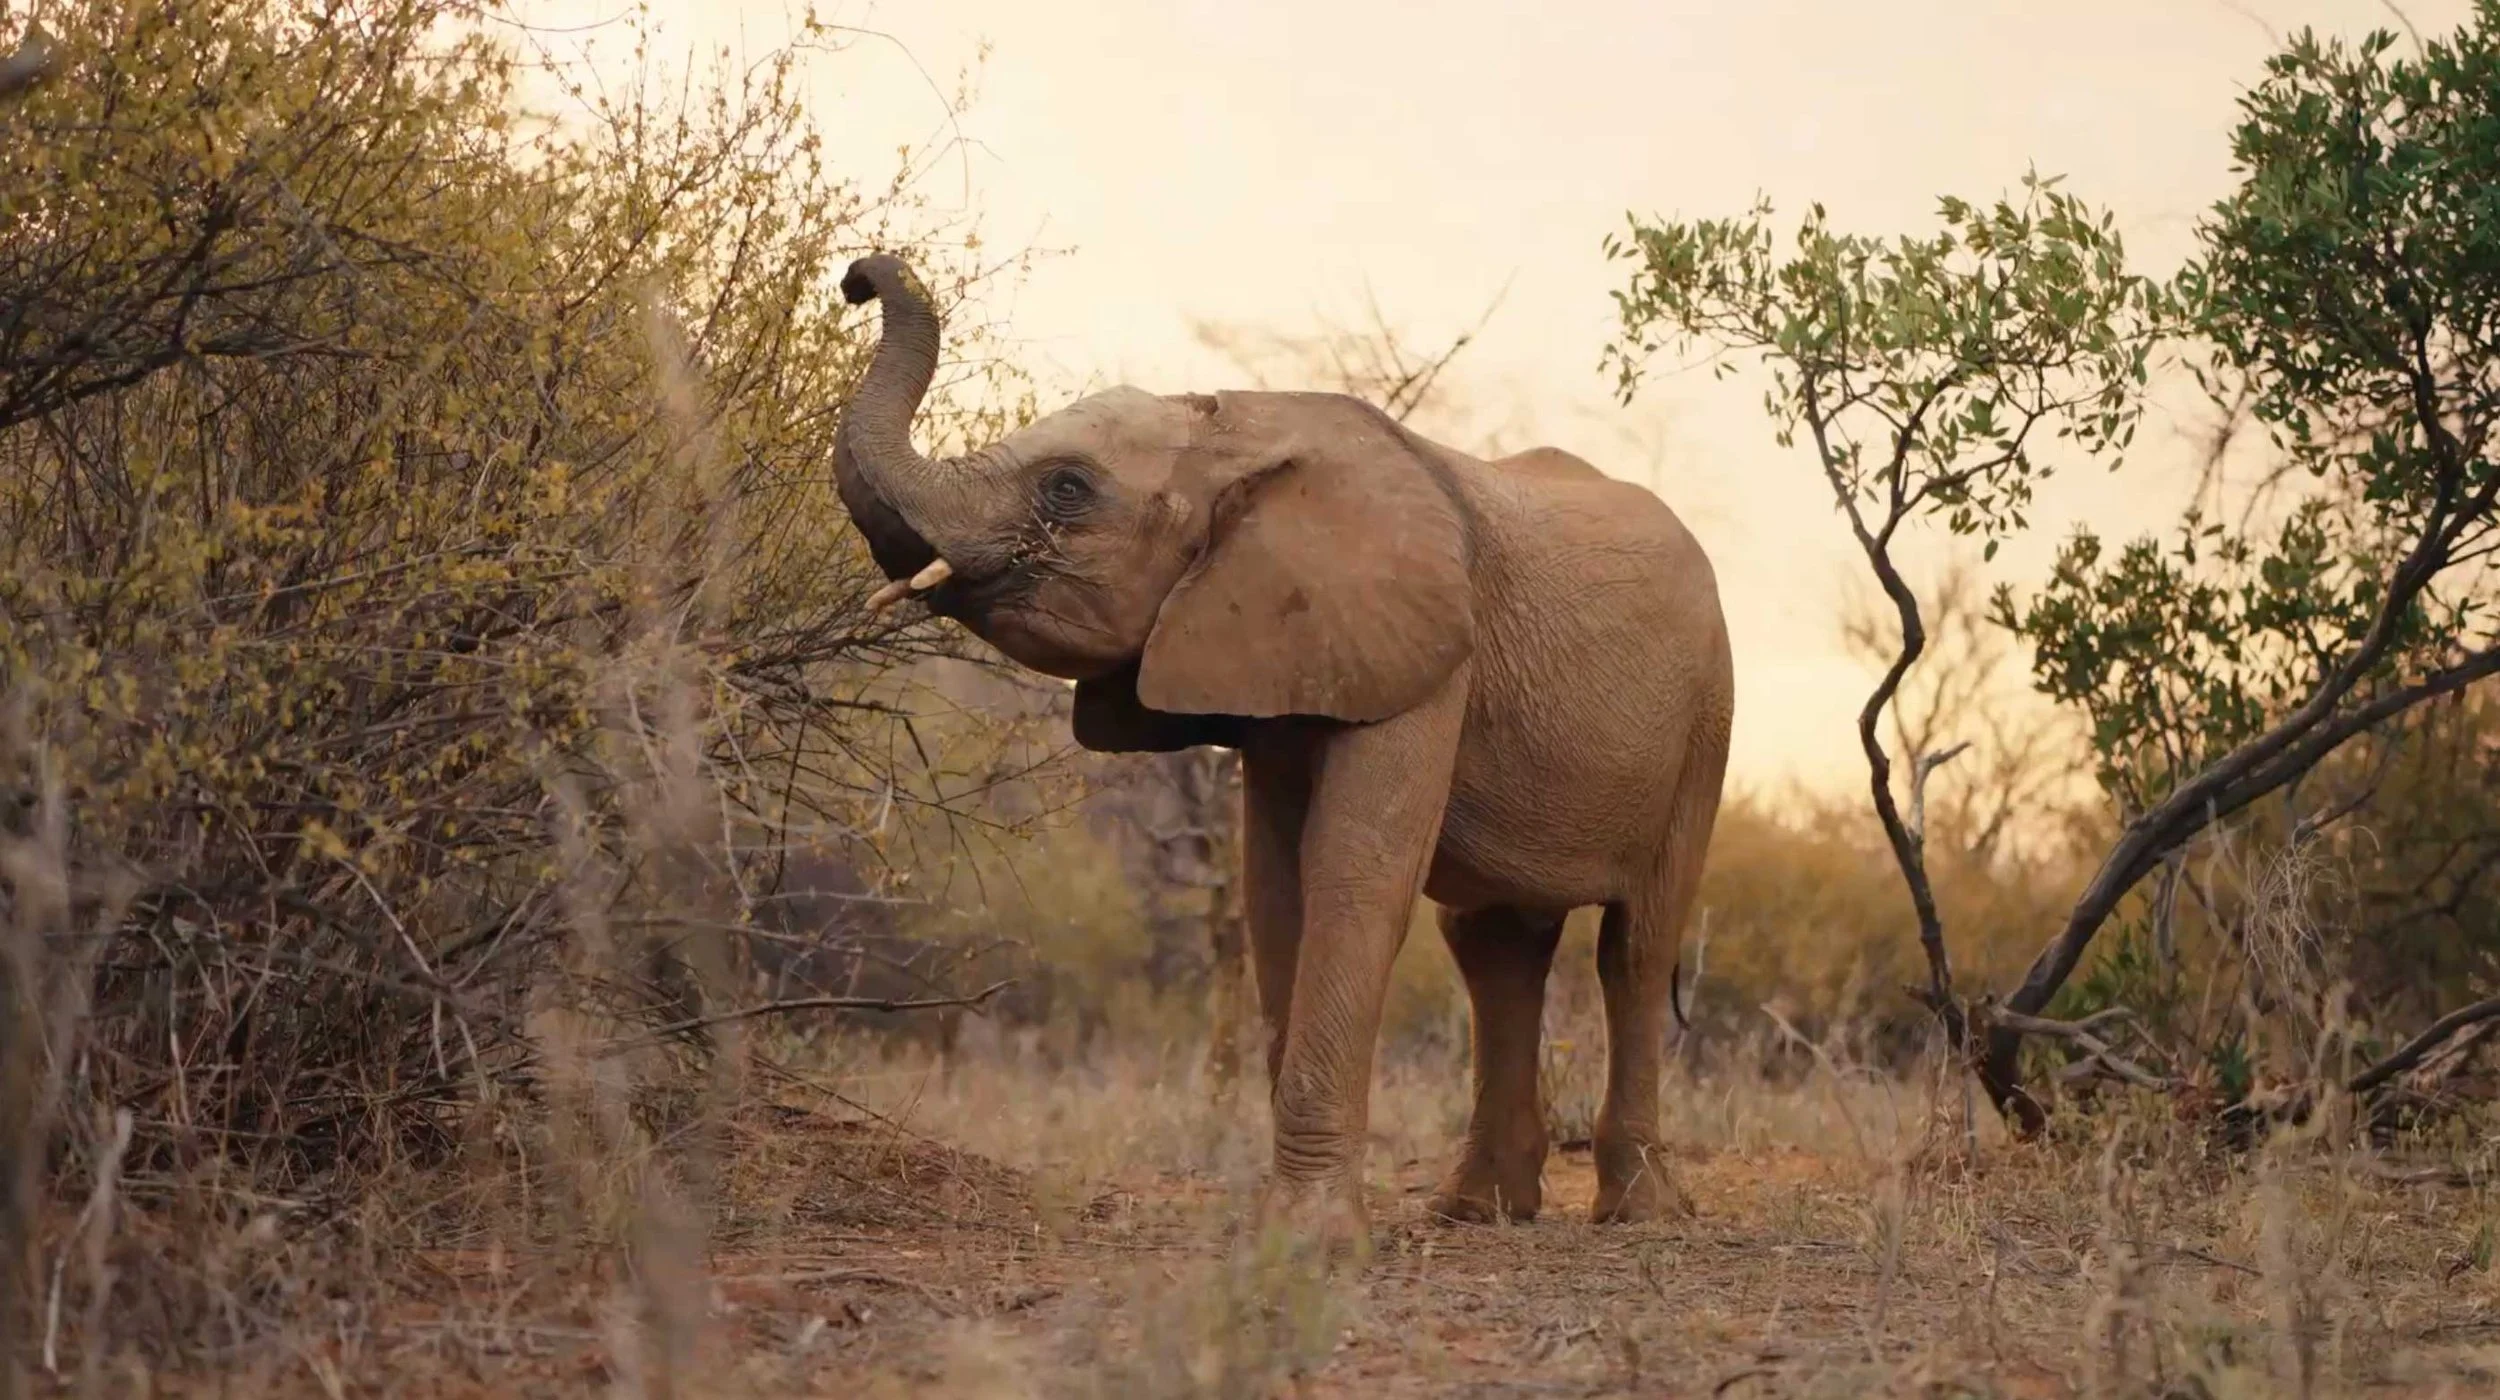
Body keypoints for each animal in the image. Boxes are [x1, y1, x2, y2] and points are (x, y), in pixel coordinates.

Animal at [830, 254, 1732, 1239]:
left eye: (1068, 489)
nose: (858, 279)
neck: (1234, 431)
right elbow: (1276, 892)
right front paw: (1285, 1229)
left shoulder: (1422, 652)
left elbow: (1353, 876)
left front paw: (1311, 1241)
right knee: (1494, 945)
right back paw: (1477, 1211)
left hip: (1707, 716)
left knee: (1636, 945)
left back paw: (1637, 1214)